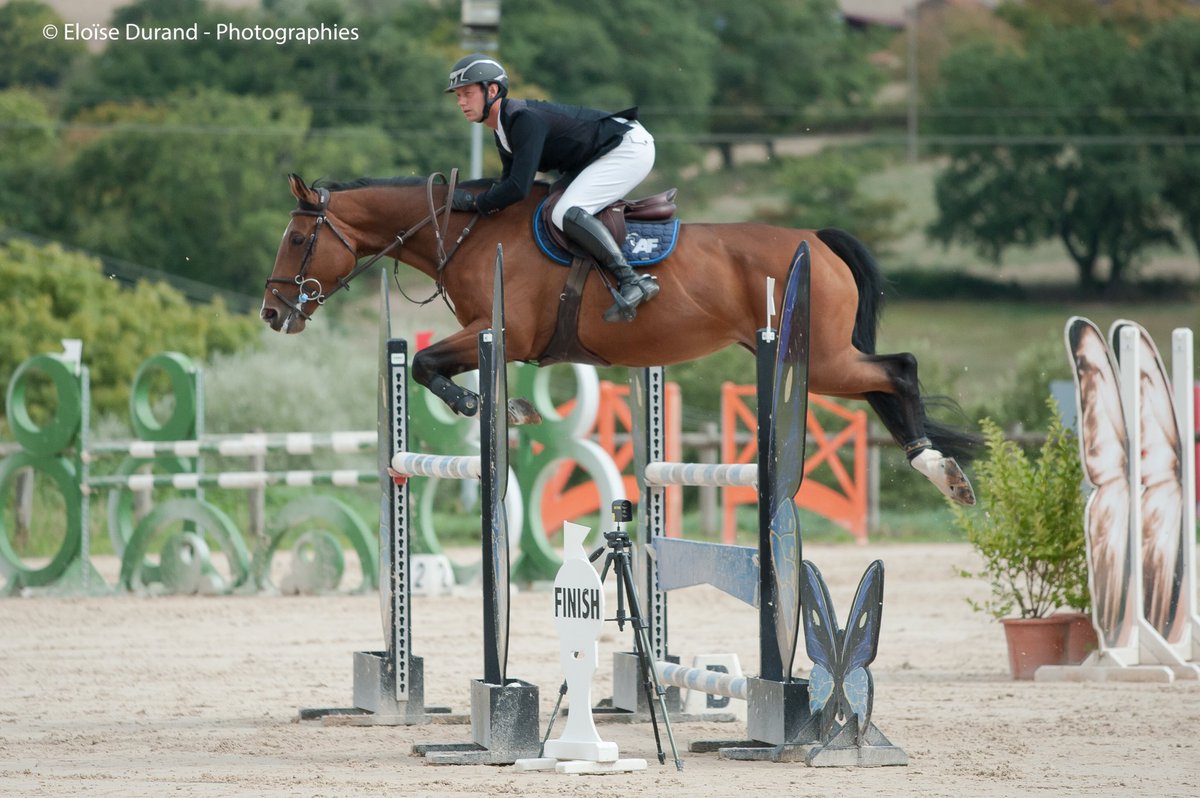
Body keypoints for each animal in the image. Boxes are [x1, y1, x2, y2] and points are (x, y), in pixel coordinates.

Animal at [261, 173, 979, 505]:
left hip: (819, 358)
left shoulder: (500, 333)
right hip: (815, 357)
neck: (465, 232)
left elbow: (428, 365)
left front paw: (497, 407)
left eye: (296, 238)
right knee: (886, 379)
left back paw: (940, 470)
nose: (273, 313)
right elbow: (430, 366)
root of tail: (816, 242)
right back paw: (938, 468)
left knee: (899, 368)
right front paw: (502, 407)